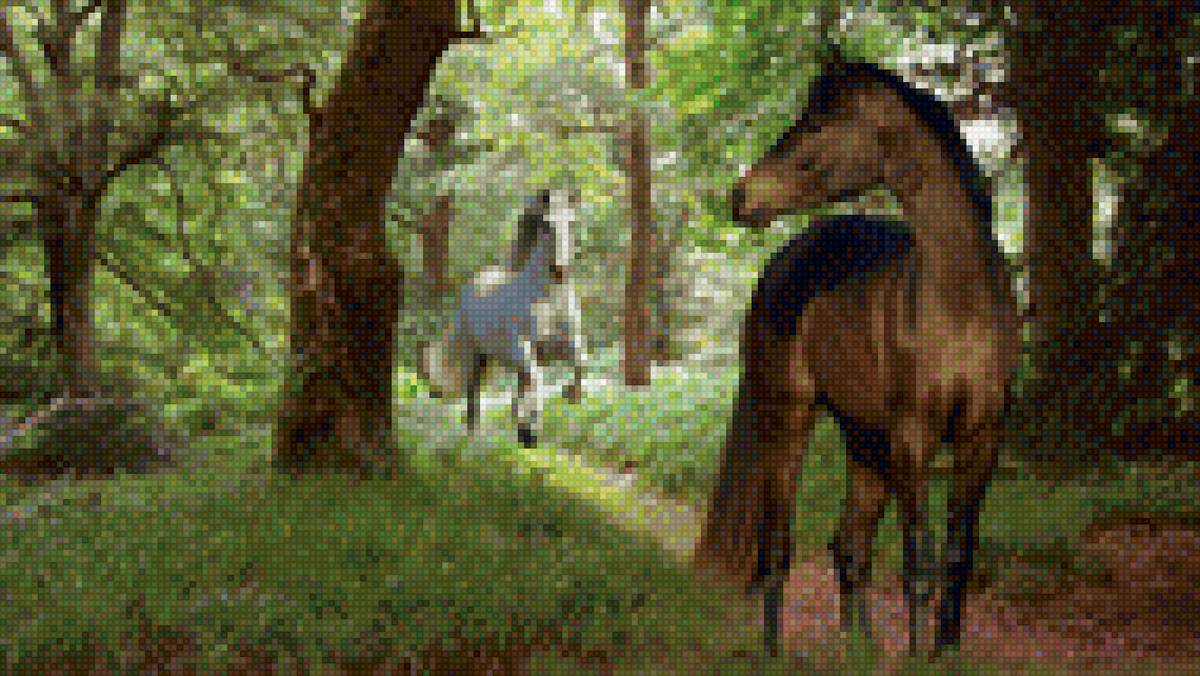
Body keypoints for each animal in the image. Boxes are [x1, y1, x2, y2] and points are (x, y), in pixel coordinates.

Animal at [420, 189, 585, 447]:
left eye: (572, 222)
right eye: (547, 225)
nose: (560, 271)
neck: (549, 300)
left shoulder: (559, 346)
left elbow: (581, 362)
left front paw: (571, 394)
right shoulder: (522, 349)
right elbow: (537, 381)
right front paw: (532, 427)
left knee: (518, 391)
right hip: (477, 358)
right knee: (473, 399)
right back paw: (475, 440)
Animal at [696, 55, 1021, 657]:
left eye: (817, 123)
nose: (741, 195)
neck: (961, 304)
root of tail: (785, 260)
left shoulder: (982, 437)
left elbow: (959, 555)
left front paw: (943, 652)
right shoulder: (914, 440)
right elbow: (919, 561)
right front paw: (917, 658)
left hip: (864, 440)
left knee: (849, 545)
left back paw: (860, 647)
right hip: (791, 418)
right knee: (777, 545)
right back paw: (774, 650)